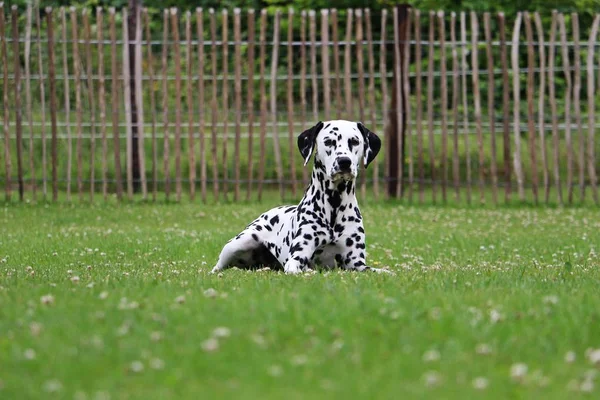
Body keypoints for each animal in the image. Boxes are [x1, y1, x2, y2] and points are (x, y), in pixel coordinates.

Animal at [211, 119, 390, 276]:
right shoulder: (296, 259)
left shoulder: (356, 264)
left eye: (354, 141)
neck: (334, 205)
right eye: (329, 141)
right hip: (238, 243)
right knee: (217, 266)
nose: (344, 161)